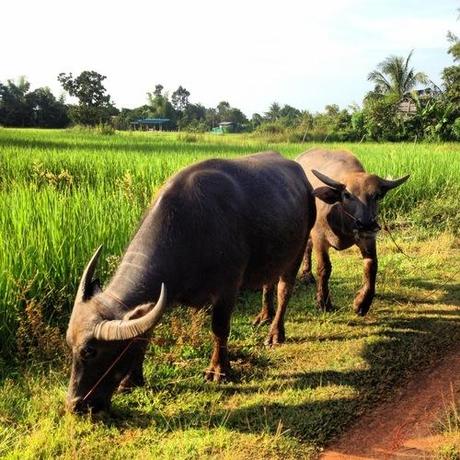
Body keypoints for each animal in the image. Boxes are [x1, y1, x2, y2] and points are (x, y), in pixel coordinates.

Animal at [65, 151, 316, 414]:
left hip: (298, 250)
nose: (75, 405)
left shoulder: (228, 289)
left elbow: (219, 329)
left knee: (284, 290)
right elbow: (145, 333)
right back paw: (263, 317)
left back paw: (275, 333)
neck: (188, 230)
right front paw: (131, 380)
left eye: (90, 351)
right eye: (69, 345)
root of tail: (301, 176)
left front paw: (219, 371)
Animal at [296, 150, 408, 316]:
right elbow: (324, 268)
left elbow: (371, 266)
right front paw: (323, 303)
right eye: (347, 195)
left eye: (377, 195)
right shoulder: (320, 237)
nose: (366, 223)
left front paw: (362, 303)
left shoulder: (368, 239)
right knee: (307, 247)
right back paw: (306, 275)